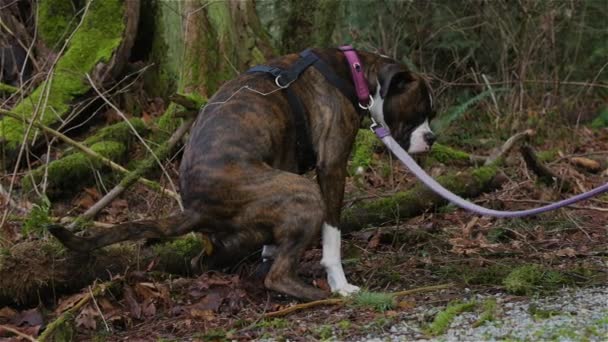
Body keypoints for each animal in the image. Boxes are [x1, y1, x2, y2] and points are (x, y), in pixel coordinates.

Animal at [50, 47, 434, 300]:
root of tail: (195, 208)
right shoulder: (332, 167)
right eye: (420, 111)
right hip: (304, 194)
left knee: (204, 259)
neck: (352, 70)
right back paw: (315, 293)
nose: (432, 137)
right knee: (276, 277)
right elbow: (333, 234)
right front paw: (340, 283)